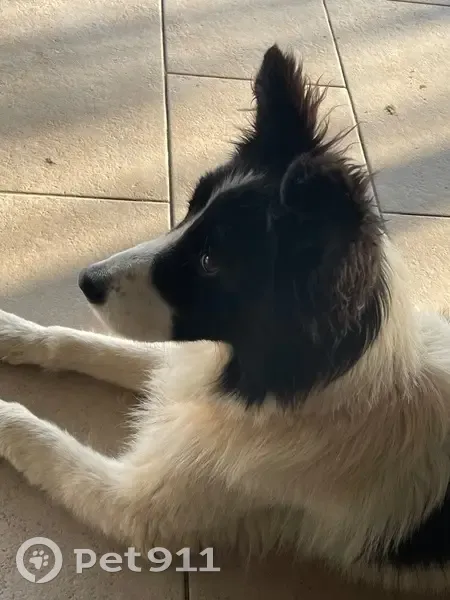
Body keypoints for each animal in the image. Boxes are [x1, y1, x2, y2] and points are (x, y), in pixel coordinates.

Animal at [1, 45, 450, 592]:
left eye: (211, 261)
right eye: (191, 208)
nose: (86, 280)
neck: (319, 378)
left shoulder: (138, 503)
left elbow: (35, 433)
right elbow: (79, 342)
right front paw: (10, 332)